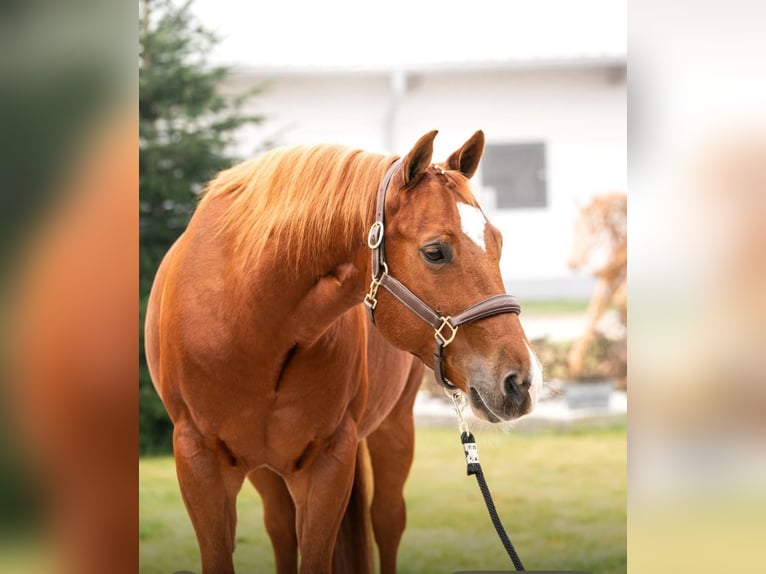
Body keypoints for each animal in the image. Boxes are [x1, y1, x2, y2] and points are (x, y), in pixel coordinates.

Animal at [144, 130, 543, 574]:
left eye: (498, 243)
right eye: (435, 251)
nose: (522, 380)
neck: (251, 324)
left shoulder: (328, 464)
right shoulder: (199, 464)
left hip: (394, 428)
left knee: (387, 520)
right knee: (280, 528)